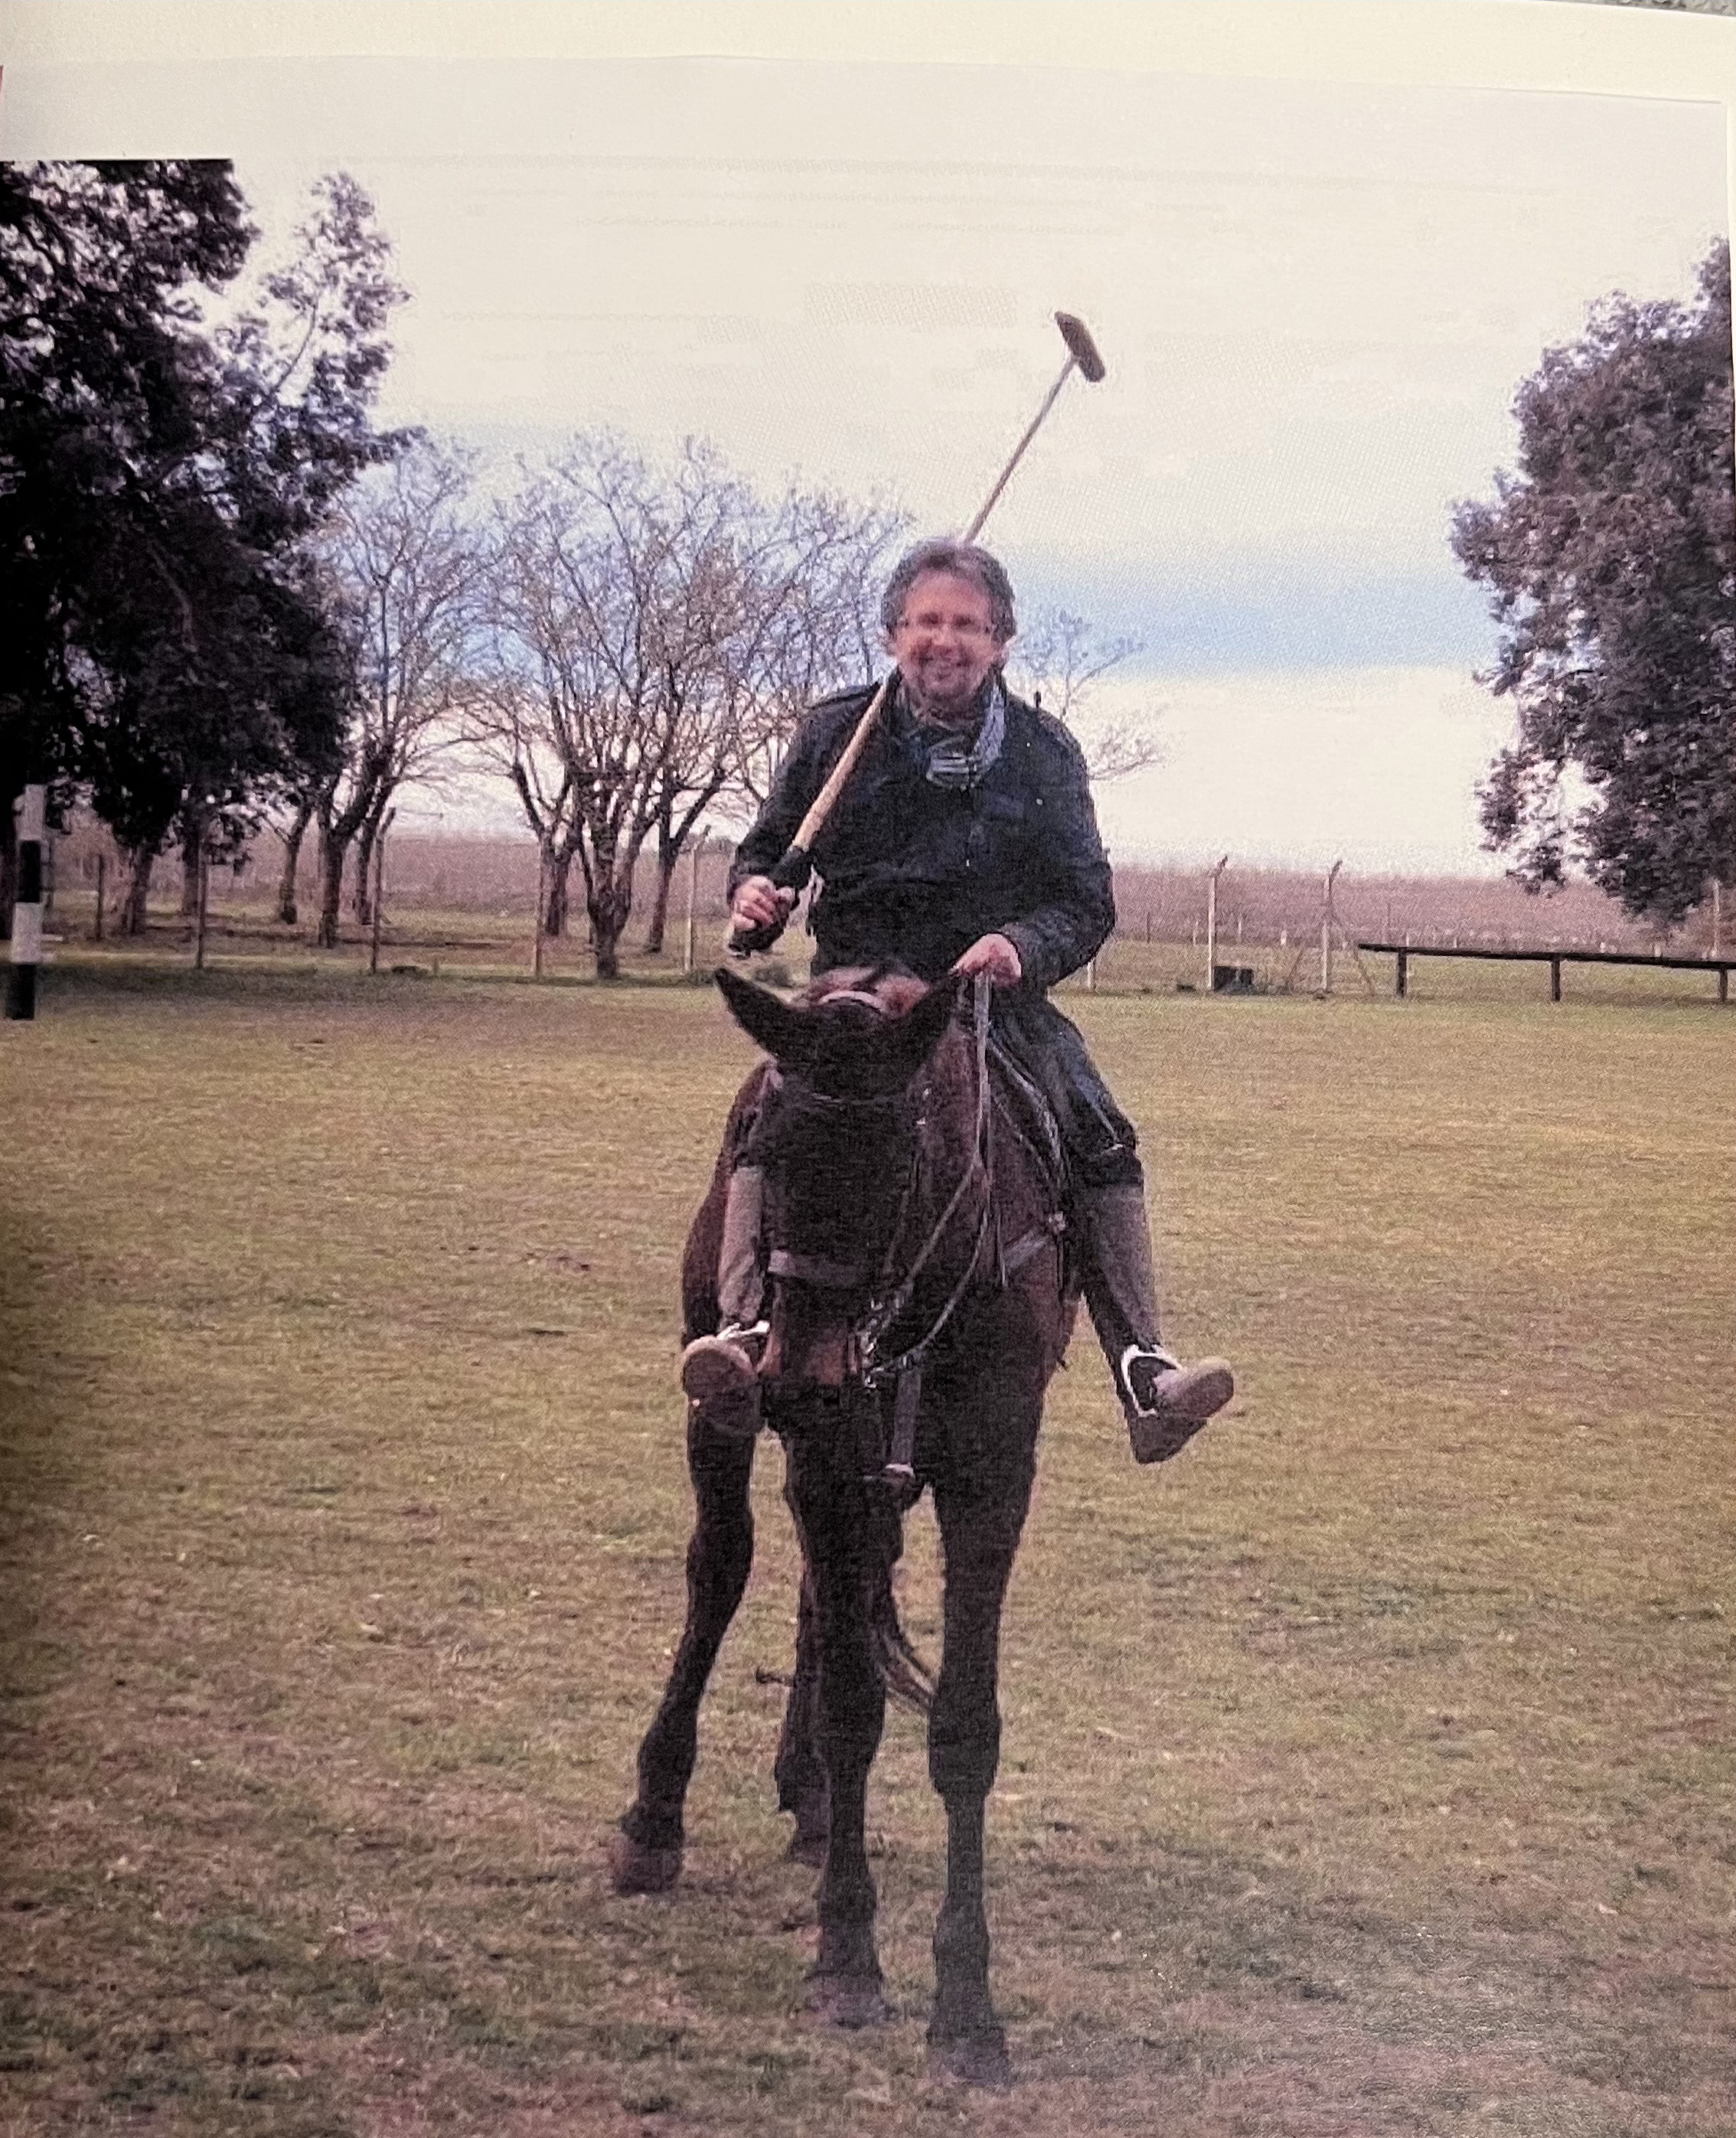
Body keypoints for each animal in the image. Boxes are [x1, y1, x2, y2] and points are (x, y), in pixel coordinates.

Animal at [611, 963, 1072, 2088]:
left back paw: (808, 1797)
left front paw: (966, 2008)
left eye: (901, 1157)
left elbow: (963, 1725)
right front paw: (848, 1956)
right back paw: (656, 1816)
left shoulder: (989, 1479)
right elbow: (857, 1707)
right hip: (731, 1413)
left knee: (828, 1601)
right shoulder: (831, 1466)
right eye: (767, 1150)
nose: (803, 1379)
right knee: (723, 1569)